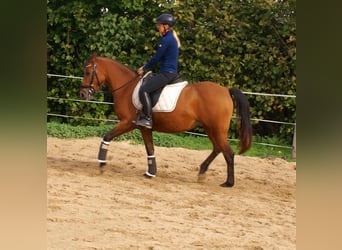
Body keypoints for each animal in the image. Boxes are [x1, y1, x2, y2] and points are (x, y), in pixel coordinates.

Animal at [79, 52, 251, 186]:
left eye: (87, 72)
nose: (82, 94)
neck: (127, 88)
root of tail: (226, 90)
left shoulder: (128, 123)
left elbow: (107, 136)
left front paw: (102, 163)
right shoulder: (144, 127)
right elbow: (150, 149)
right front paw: (151, 173)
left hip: (216, 129)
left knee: (228, 152)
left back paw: (228, 183)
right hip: (210, 128)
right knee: (218, 148)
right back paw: (202, 172)